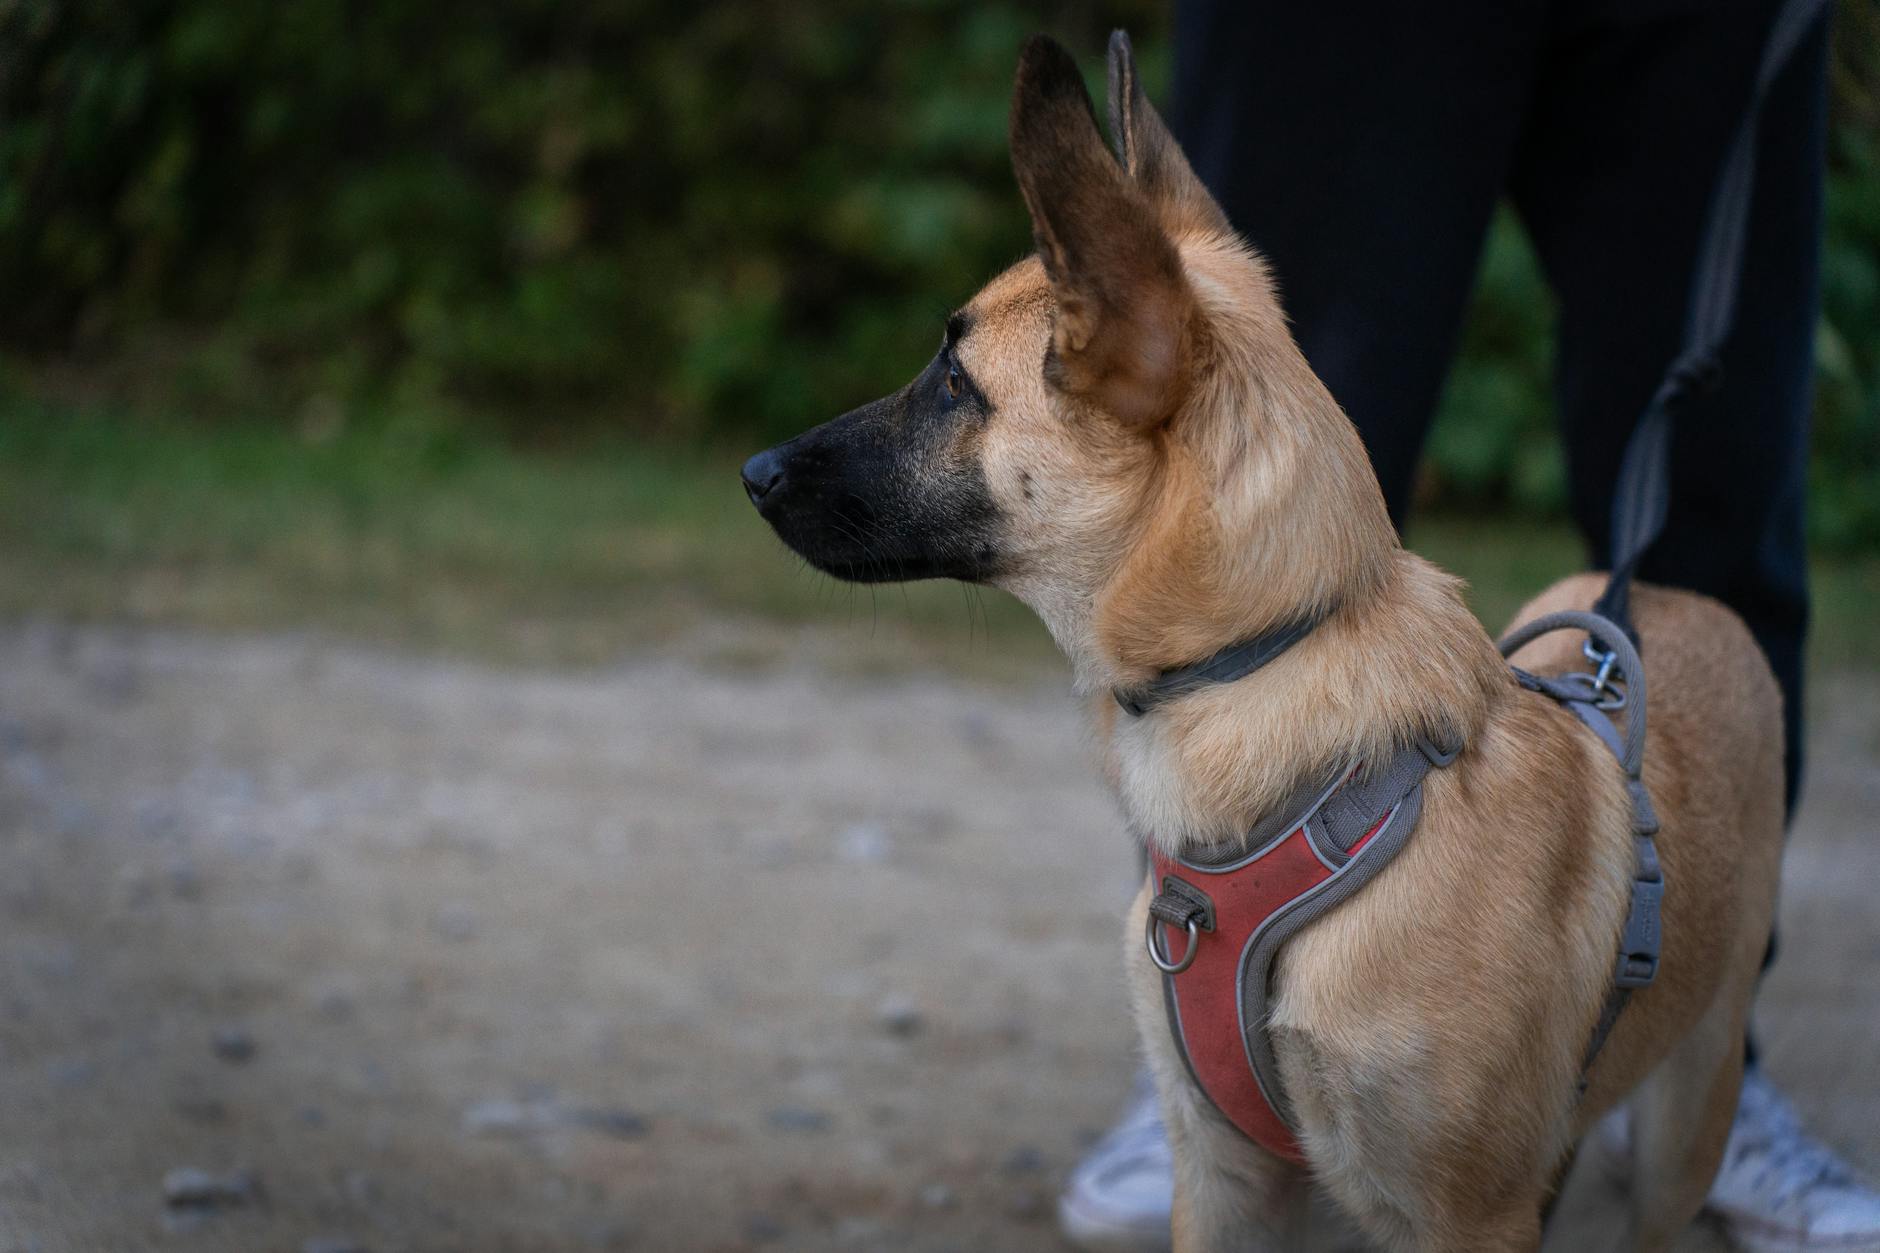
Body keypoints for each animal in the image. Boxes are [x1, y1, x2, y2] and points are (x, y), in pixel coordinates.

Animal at [740, 31, 1782, 1249]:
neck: (1267, 662)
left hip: (1686, 1120)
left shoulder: (1469, 1214)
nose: (753, 472)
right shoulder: (1225, 1174)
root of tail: (1663, 592)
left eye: (953, 383)